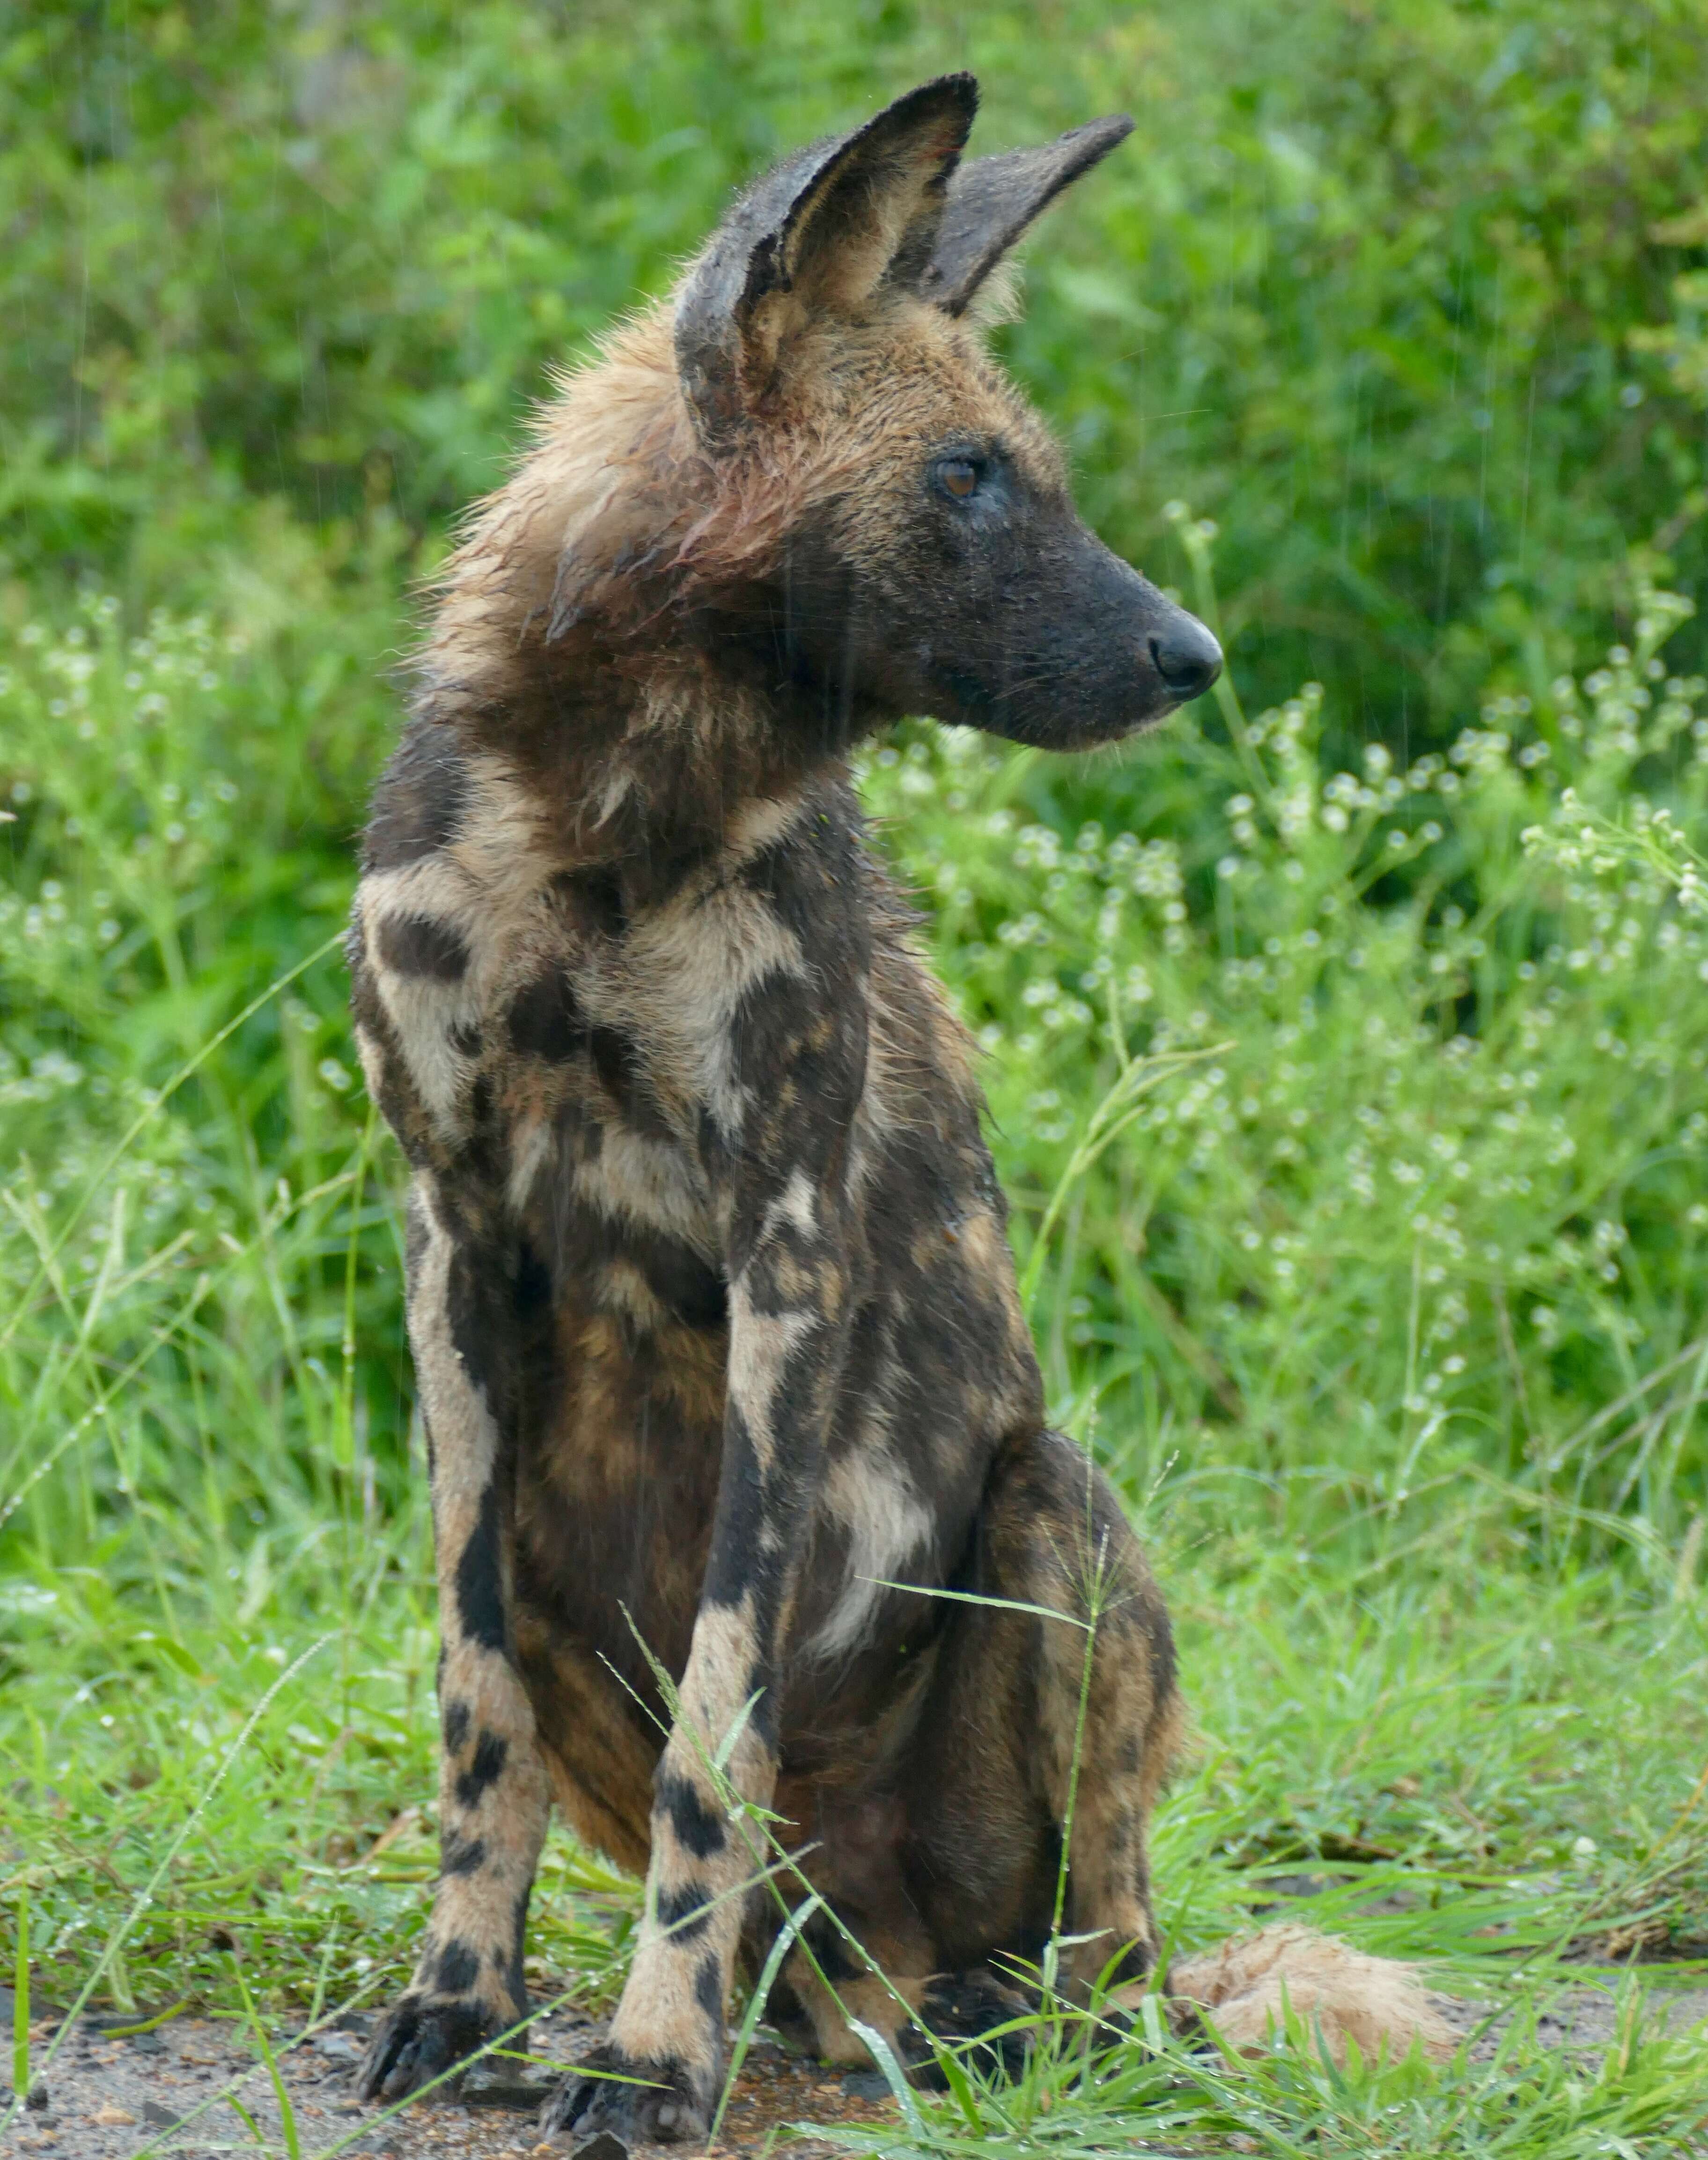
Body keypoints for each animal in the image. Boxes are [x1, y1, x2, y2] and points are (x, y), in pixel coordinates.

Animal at [354, 76, 1451, 2151]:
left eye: (1030, 469)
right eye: (965, 477)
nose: (1192, 655)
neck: (614, 809)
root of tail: (868, 1962)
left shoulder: (783, 1259)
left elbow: (716, 1736)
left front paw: (650, 2058)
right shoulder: (453, 1242)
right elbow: (475, 1714)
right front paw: (462, 2000)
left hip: (1055, 1516)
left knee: (1111, 1951)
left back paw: (1003, 2028)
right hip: (566, 1544)